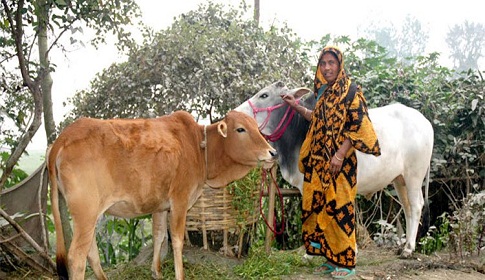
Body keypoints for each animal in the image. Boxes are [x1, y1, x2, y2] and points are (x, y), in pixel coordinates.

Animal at [48, 110, 276, 278]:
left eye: (256, 128)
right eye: (240, 129)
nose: (272, 152)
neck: (199, 147)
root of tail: (63, 138)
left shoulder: (159, 206)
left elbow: (159, 235)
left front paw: (156, 271)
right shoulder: (180, 201)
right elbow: (176, 240)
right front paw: (179, 275)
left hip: (92, 214)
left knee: (91, 250)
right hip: (85, 212)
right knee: (77, 256)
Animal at [235, 80, 434, 256]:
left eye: (264, 95)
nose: (235, 114)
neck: (299, 131)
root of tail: (426, 122)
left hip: (414, 176)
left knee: (416, 205)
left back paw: (408, 249)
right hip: (399, 180)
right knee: (407, 208)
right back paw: (405, 245)